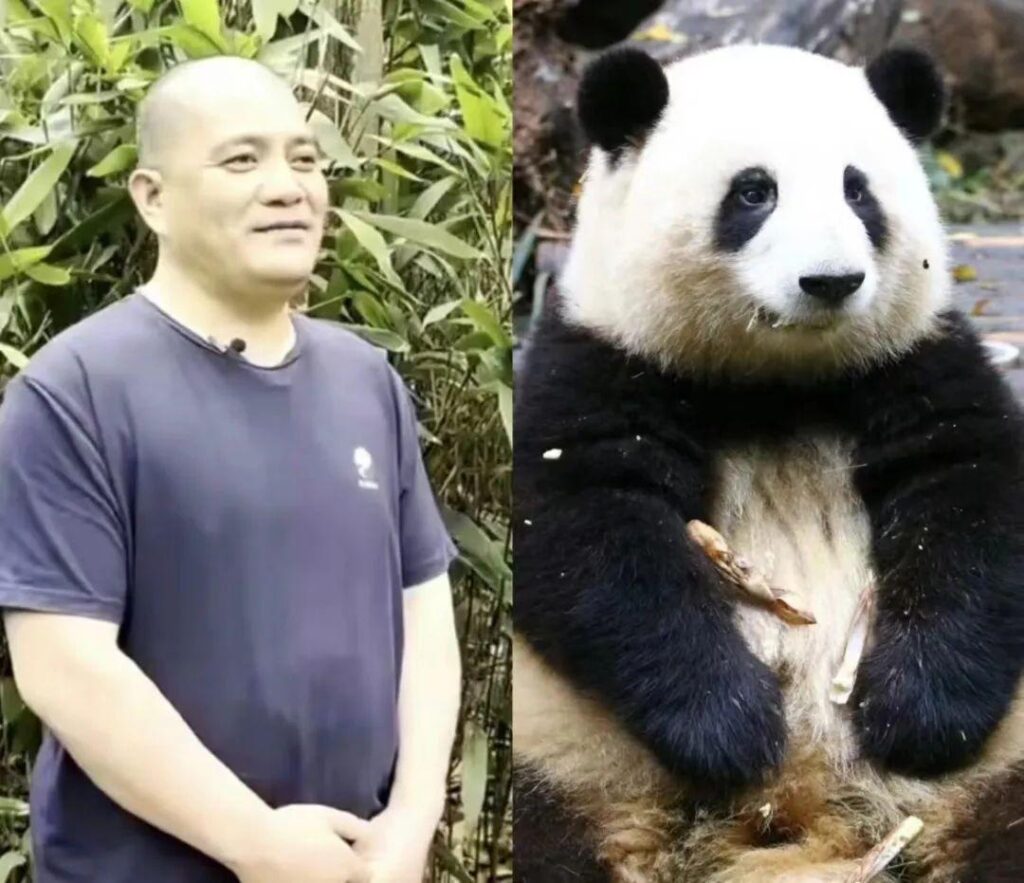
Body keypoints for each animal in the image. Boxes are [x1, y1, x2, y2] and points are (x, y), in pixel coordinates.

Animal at [513, 44, 1024, 883]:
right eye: (754, 192)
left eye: (857, 190)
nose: (832, 281)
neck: (776, 382)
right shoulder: (598, 362)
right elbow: (591, 540)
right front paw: (730, 724)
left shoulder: (918, 360)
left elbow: (972, 503)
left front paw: (914, 711)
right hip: (569, 758)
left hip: (996, 770)